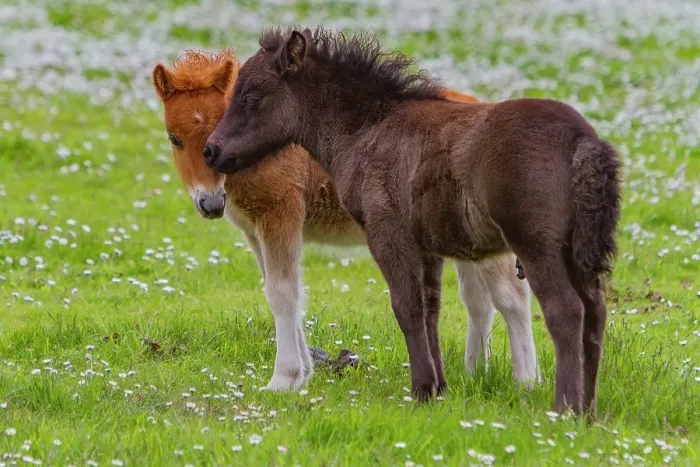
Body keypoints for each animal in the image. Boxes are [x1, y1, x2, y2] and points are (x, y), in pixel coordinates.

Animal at [152, 48, 539, 394]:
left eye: (229, 114)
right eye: (174, 138)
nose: (210, 202)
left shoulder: (281, 214)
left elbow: (282, 292)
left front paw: (284, 380)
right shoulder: (253, 230)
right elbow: (282, 290)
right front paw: (304, 373)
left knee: (511, 298)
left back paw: (526, 383)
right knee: (478, 300)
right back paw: (473, 373)